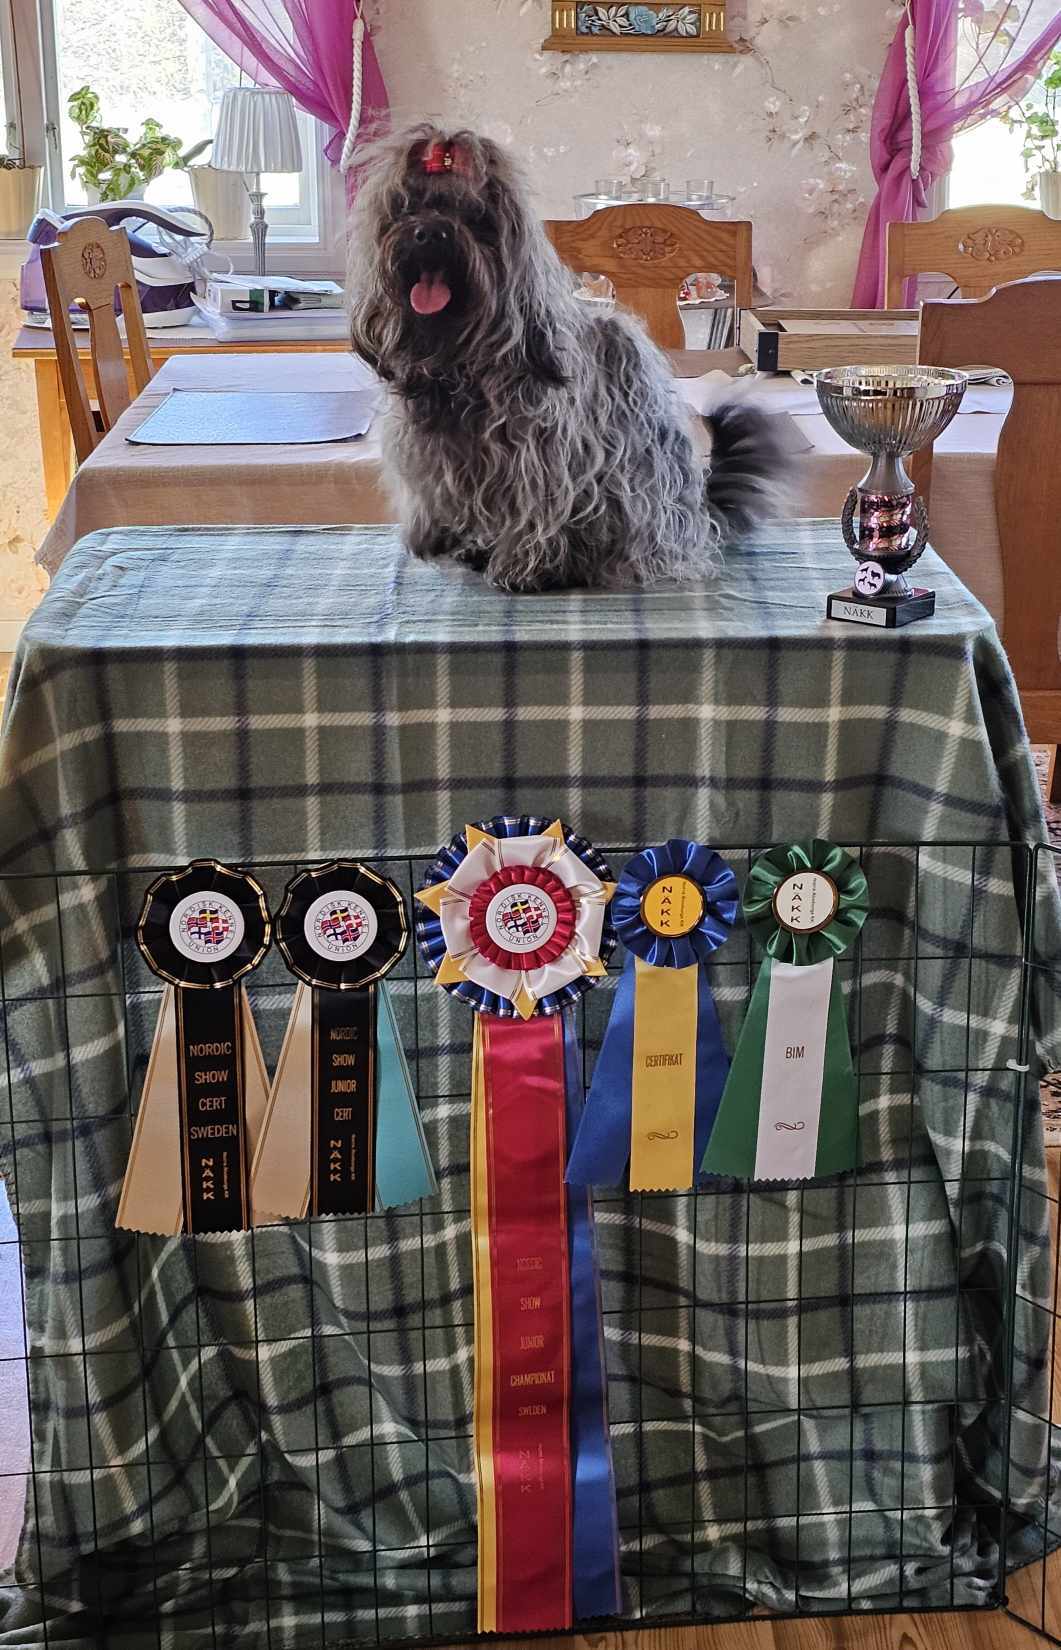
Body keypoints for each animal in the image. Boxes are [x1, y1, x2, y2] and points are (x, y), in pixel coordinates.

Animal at [349, 124, 788, 592]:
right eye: (407, 205)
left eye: (473, 213)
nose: (429, 233)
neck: (464, 361)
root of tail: (698, 521)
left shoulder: (541, 455)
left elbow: (536, 510)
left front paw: (524, 566)